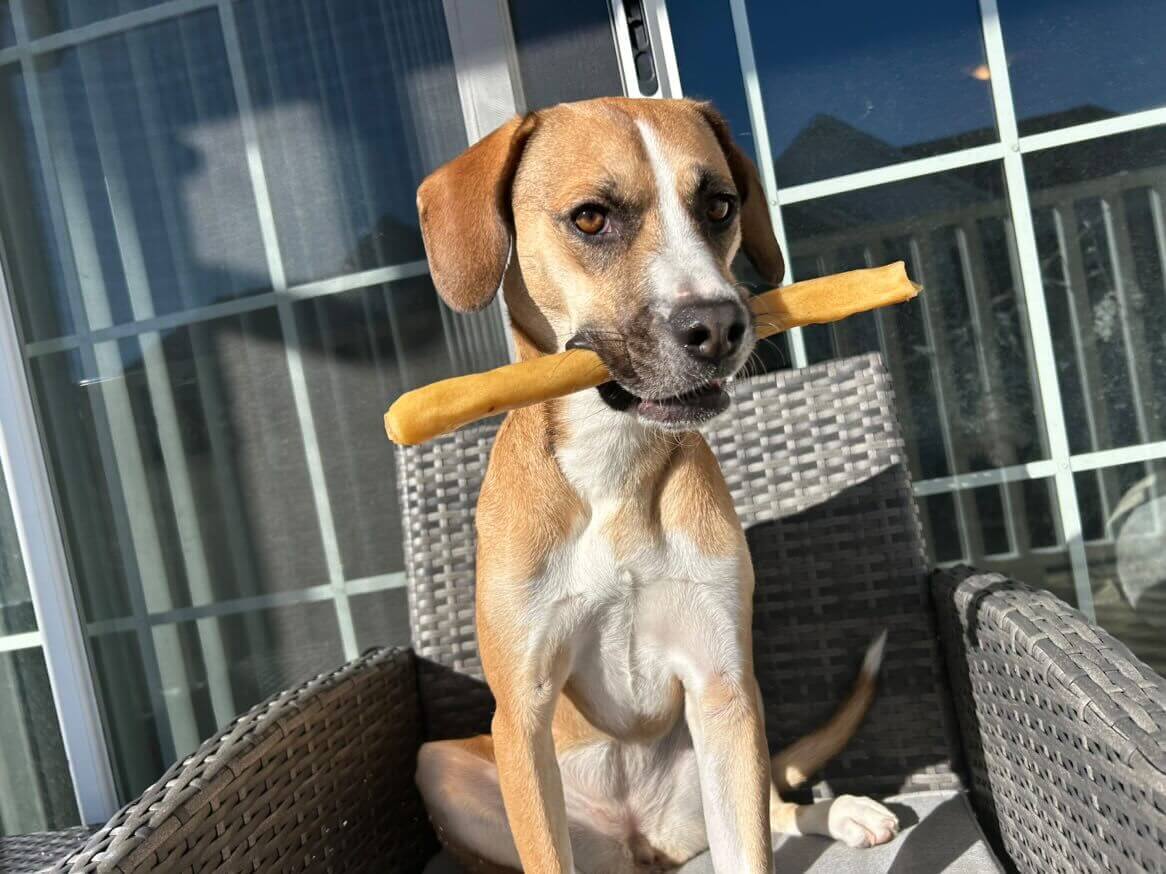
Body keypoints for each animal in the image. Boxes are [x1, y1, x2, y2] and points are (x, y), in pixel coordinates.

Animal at [415, 99, 895, 871]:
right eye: (590, 218)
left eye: (720, 205)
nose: (721, 325)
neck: (614, 465)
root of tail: (643, 843)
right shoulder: (523, 713)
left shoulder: (722, 686)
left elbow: (751, 849)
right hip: (445, 766)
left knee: (775, 807)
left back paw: (843, 813)